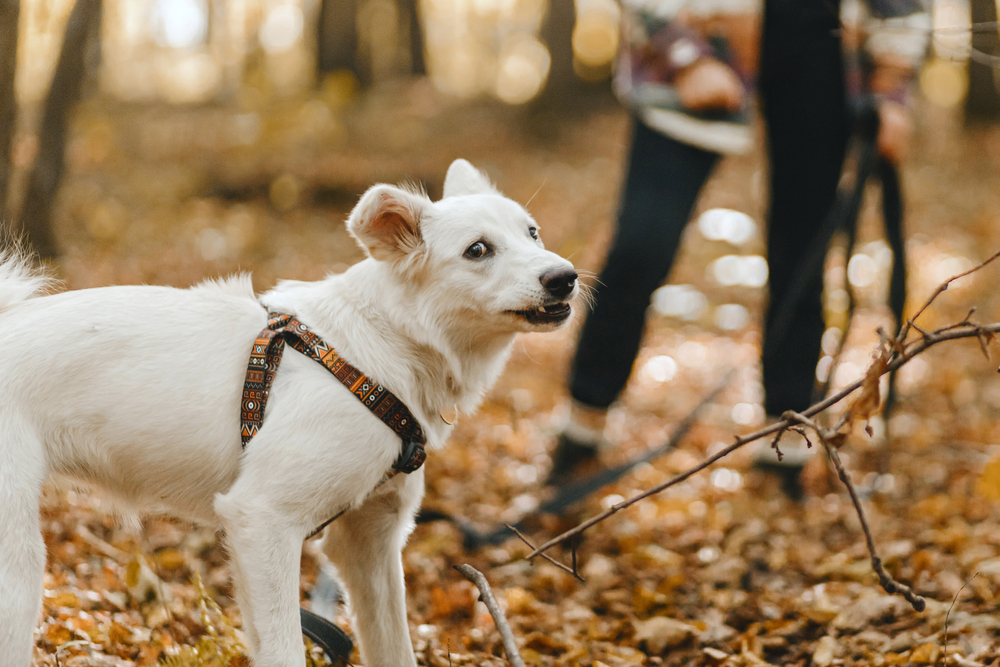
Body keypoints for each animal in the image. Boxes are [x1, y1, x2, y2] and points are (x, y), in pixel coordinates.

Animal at [0, 162, 580, 667]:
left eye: (532, 233)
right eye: (478, 250)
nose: (565, 277)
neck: (381, 349)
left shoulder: (367, 541)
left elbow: (394, 649)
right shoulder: (262, 520)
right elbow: (285, 652)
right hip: (19, 568)